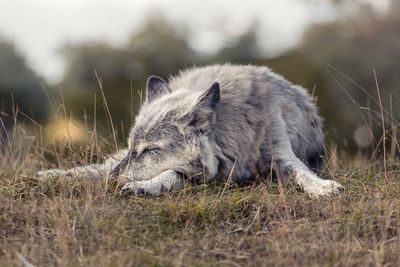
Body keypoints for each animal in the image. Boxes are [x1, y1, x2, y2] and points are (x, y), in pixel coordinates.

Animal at [38, 64, 344, 198]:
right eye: (136, 147)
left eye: (151, 150)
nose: (113, 179)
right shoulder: (193, 172)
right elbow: (169, 175)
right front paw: (144, 186)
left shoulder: (281, 155)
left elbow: (303, 172)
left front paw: (322, 186)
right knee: (95, 167)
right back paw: (53, 175)